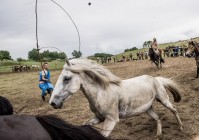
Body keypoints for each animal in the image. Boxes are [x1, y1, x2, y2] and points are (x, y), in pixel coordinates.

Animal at [49, 58, 183, 138]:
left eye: (66, 78)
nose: (53, 103)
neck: (101, 93)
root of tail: (155, 79)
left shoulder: (111, 120)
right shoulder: (99, 118)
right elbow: (85, 124)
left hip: (163, 100)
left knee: (174, 109)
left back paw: (181, 127)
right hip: (147, 108)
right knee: (158, 118)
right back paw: (158, 135)